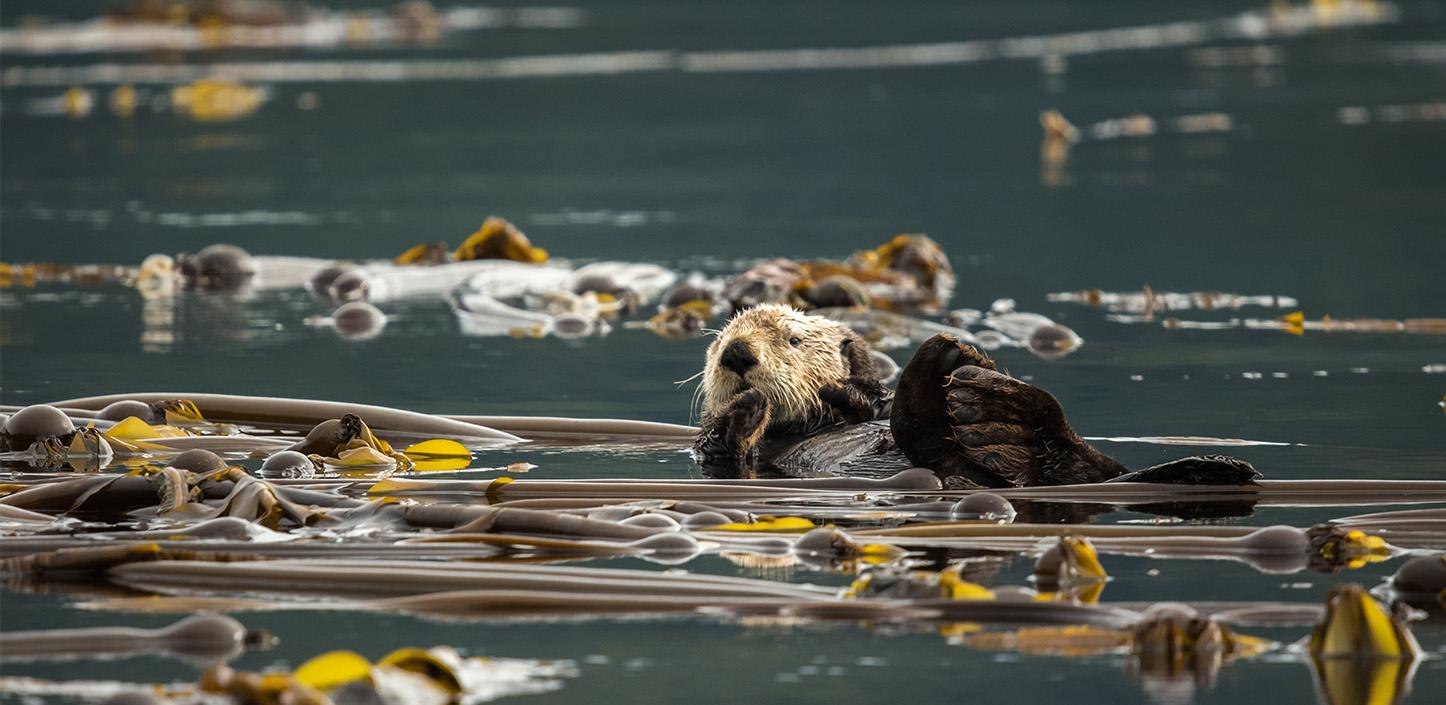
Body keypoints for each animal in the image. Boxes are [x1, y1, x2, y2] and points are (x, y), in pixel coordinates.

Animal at [694, 305, 1259, 487]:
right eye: (718, 344)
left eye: (792, 339)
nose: (736, 353)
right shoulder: (720, 456)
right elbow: (722, 446)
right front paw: (746, 410)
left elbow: (870, 399)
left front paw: (846, 391)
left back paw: (966, 371)